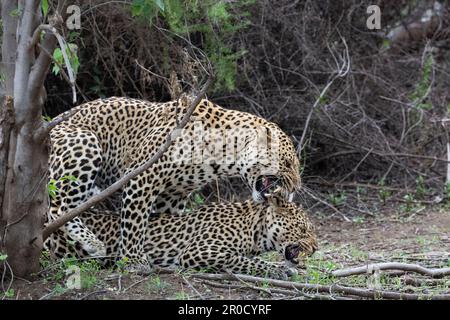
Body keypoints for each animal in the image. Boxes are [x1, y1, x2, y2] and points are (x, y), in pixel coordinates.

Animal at [47, 194, 318, 278]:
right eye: (303, 230)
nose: (315, 249)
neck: (254, 230)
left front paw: (285, 268)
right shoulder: (200, 251)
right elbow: (245, 261)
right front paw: (279, 271)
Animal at [48, 96, 302, 266]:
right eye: (288, 163)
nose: (295, 189)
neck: (221, 155)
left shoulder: (172, 196)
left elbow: (161, 227)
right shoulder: (142, 174)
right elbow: (135, 221)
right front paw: (133, 259)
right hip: (85, 142)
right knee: (57, 208)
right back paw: (93, 243)